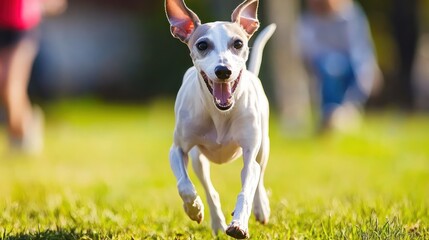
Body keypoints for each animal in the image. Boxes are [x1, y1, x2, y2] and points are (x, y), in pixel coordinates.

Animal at [164, 0, 274, 237]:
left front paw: (239, 224)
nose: (223, 70)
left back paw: (261, 207)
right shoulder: (178, 149)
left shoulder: (250, 152)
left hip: (263, 145)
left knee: (259, 173)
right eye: (202, 45)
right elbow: (184, 185)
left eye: (238, 43)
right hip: (198, 158)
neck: (220, 114)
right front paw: (193, 208)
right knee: (208, 188)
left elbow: (247, 187)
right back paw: (216, 221)